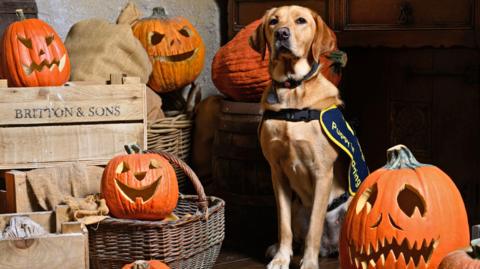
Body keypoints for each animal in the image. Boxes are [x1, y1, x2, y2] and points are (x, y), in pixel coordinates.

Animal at [251, 4, 348, 268]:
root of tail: (330, 247)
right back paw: (277, 249)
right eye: (273, 21)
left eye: (301, 21)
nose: (281, 34)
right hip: (297, 208)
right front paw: (282, 258)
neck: (292, 91)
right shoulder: (277, 172)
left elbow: (315, 227)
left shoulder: (322, 172)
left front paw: (309, 262)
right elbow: (283, 226)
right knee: (296, 233)